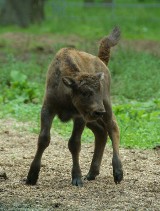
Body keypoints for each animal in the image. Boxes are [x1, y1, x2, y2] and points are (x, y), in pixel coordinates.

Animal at [26, 26, 124, 186]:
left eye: (99, 90)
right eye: (84, 92)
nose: (99, 111)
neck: (66, 88)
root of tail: (100, 60)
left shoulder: (79, 117)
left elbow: (74, 143)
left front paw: (77, 178)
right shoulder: (48, 109)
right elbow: (43, 139)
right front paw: (31, 177)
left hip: (106, 107)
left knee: (112, 128)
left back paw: (118, 173)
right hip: (92, 118)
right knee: (101, 132)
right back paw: (91, 173)